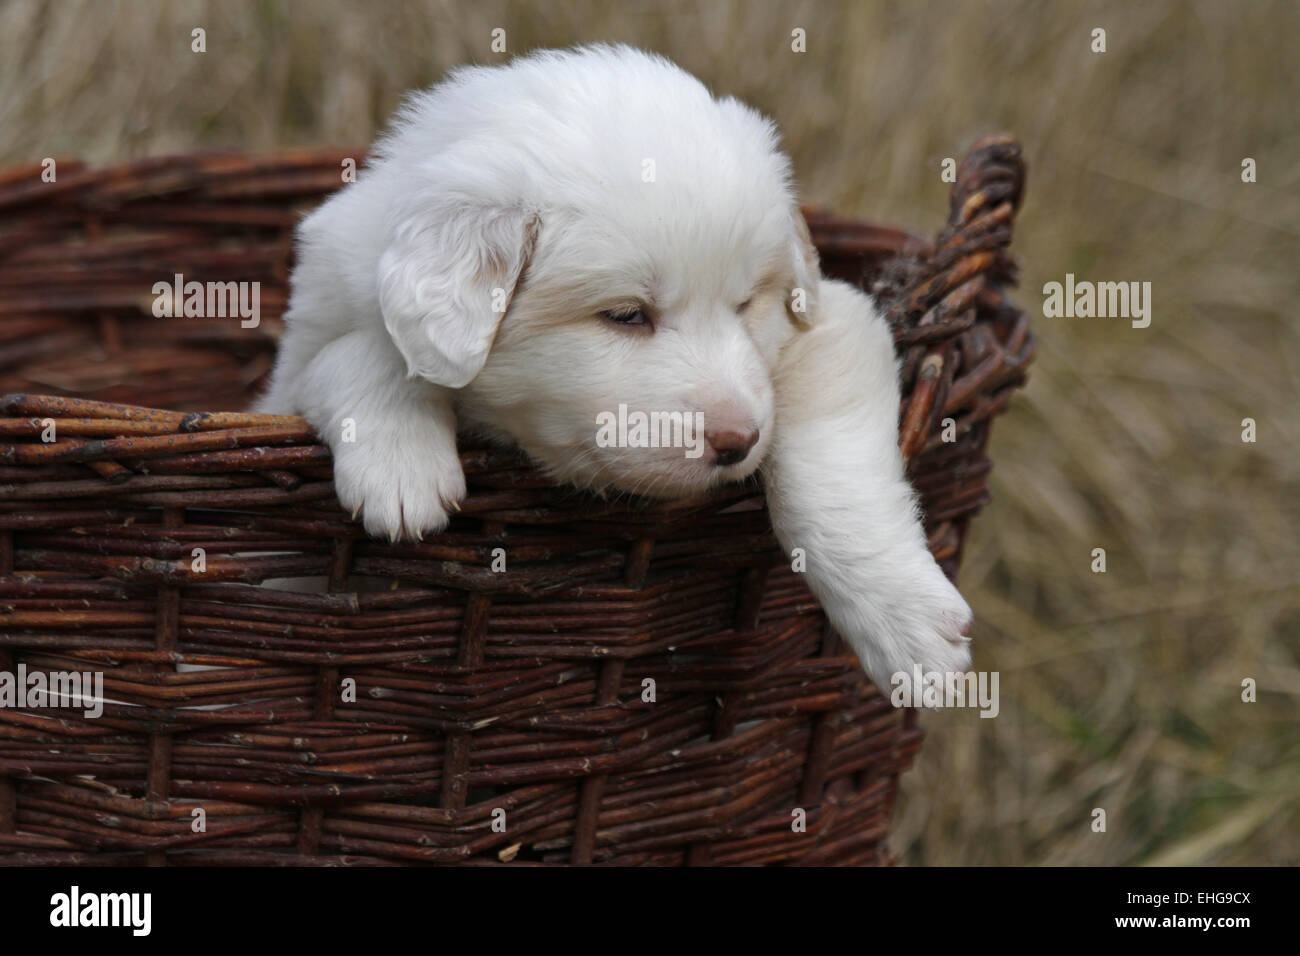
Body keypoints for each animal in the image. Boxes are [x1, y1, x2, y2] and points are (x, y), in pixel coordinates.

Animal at [258, 44, 972, 691]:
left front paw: (908, 630)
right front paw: (403, 470)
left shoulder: (833, 324)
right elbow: (366, 350)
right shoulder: (296, 364)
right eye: (626, 315)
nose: (738, 441)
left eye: (746, 304)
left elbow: (831, 460)